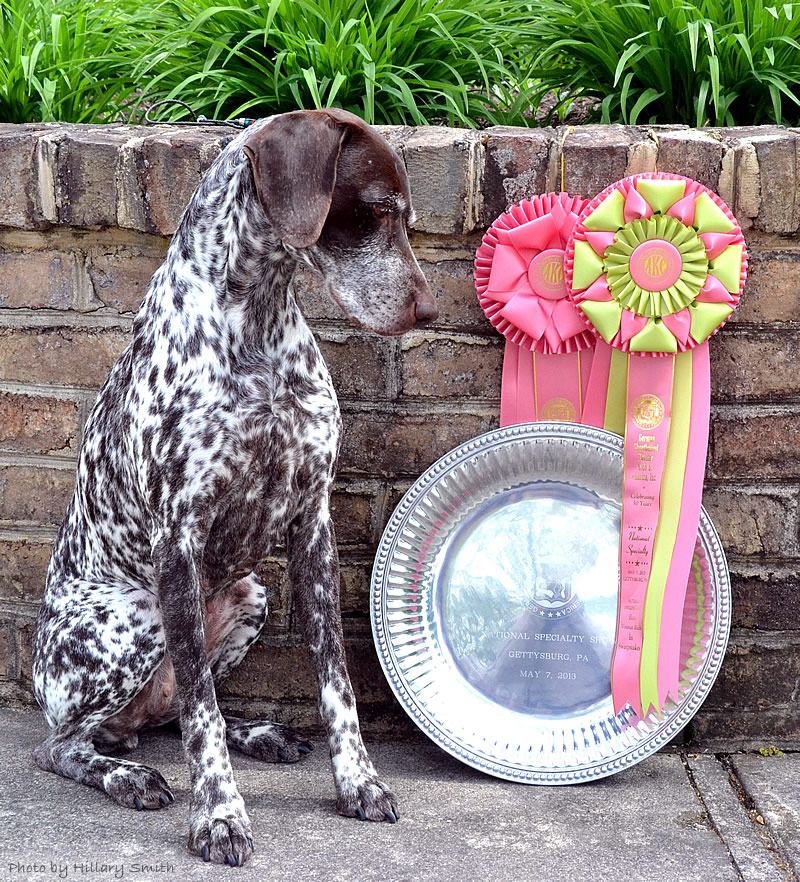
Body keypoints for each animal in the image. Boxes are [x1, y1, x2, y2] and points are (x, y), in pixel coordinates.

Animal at [31, 106, 440, 864]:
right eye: (377, 210)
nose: (427, 312)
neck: (256, 318)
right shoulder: (179, 540)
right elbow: (202, 717)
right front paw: (220, 816)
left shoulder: (313, 525)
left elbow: (334, 683)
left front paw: (358, 782)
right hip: (136, 616)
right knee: (72, 743)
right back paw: (126, 775)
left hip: (251, 593)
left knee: (177, 712)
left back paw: (259, 733)